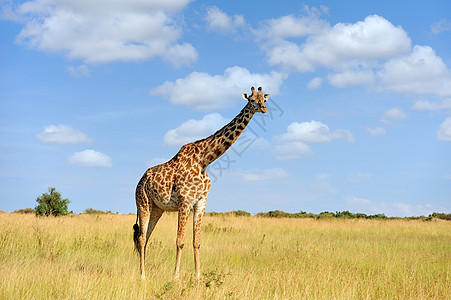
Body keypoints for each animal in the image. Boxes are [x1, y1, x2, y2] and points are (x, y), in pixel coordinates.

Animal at [132, 86, 270, 278]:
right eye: (251, 100)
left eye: (264, 99)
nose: (264, 108)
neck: (204, 160)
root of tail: (141, 180)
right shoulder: (185, 202)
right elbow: (180, 241)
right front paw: (176, 277)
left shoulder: (201, 202)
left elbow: (196, 242)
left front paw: (197, 276)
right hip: (142, 203)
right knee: (141, 237)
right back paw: (142, 276)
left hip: (157, 208)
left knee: (146, 237)